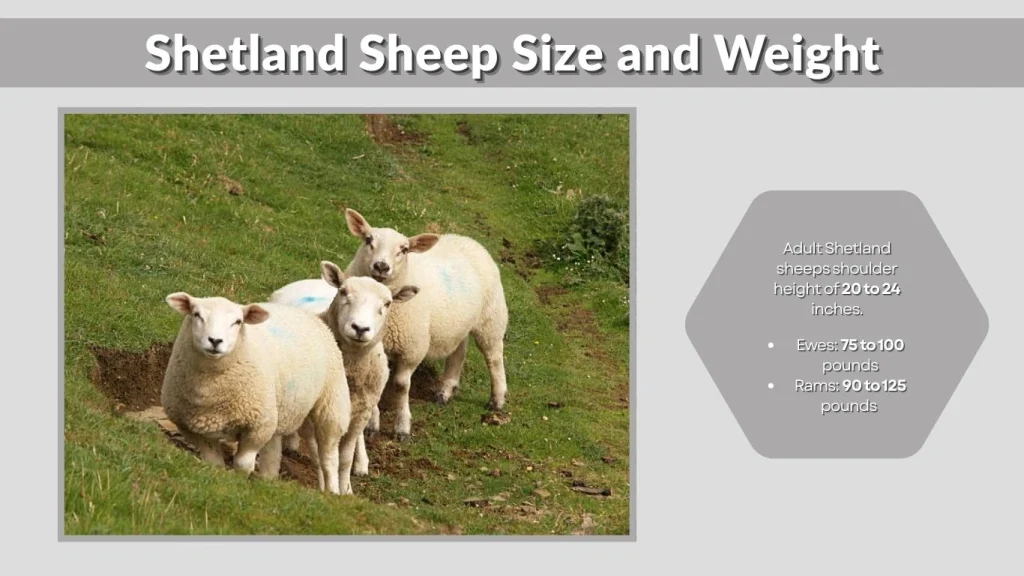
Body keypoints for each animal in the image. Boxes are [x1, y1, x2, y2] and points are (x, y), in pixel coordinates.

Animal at [160, 292, 352, 495]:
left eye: (238, 322)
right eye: (196, 315)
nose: (215, 341)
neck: (209, 391)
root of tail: (307, 314)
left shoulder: (258, 426)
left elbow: (242, 464)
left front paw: (239, 484)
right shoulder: (193, 430)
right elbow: (214, 464)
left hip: (332, 403)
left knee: (329, 456)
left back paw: (332, 491)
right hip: (278, 411)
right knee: (279, 453)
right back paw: (273, 482)